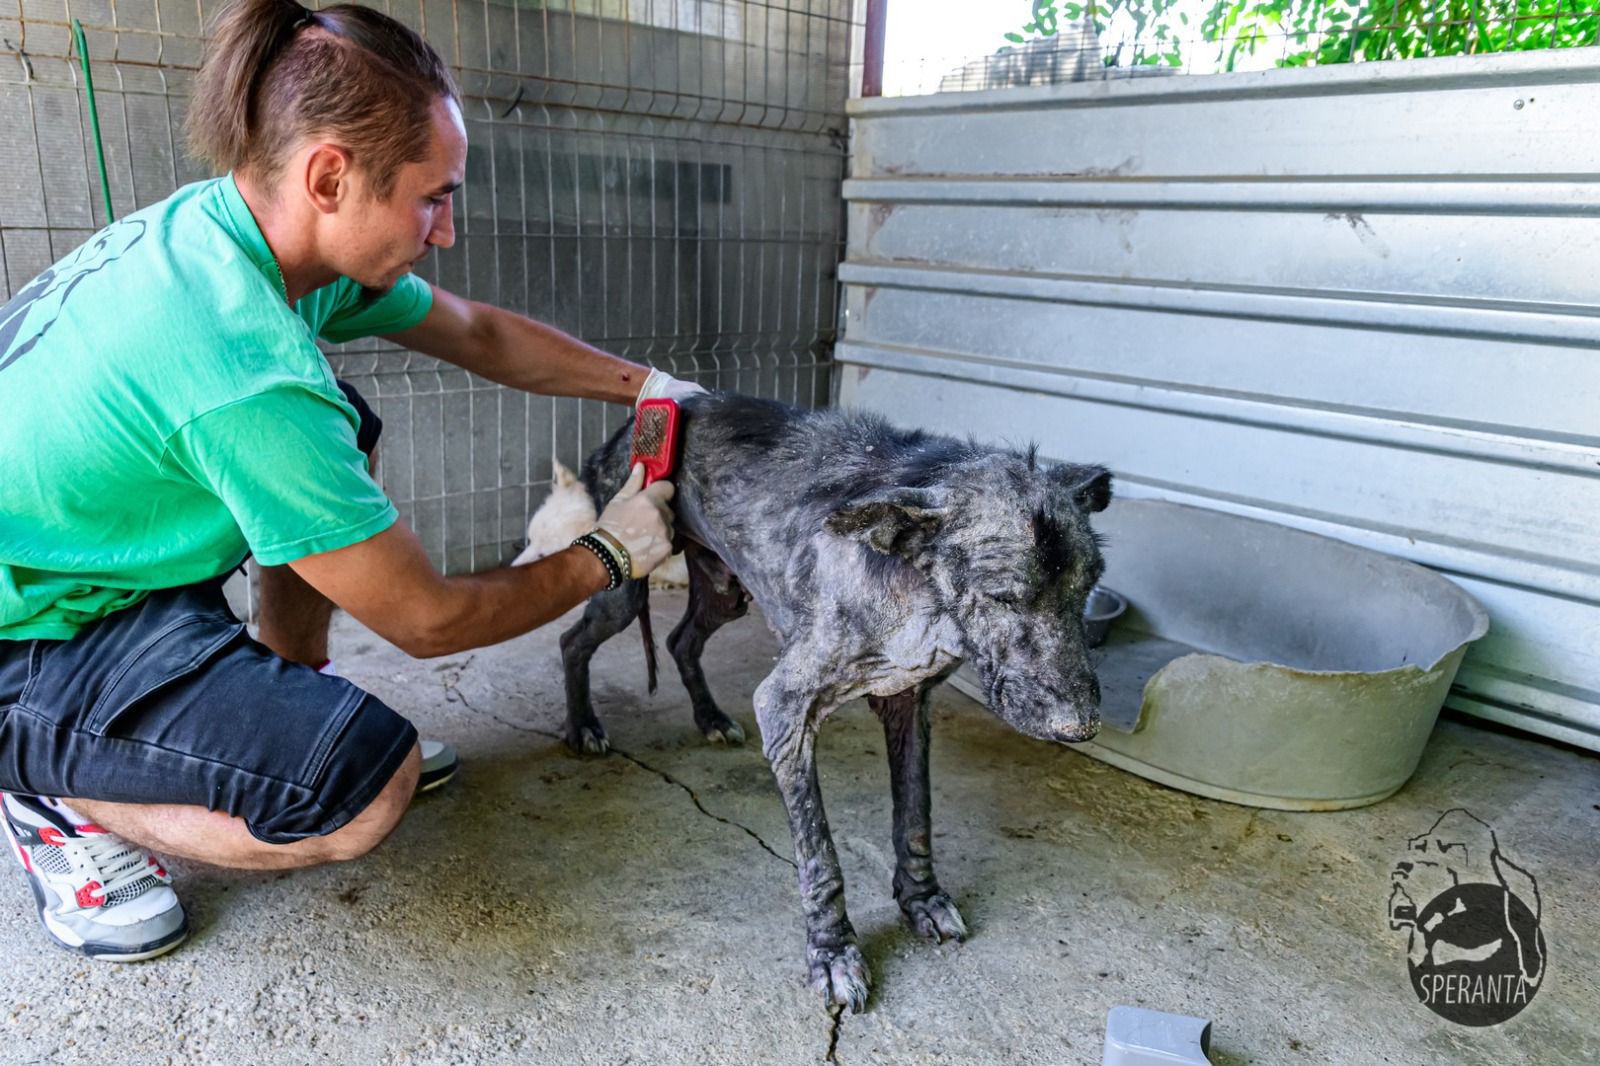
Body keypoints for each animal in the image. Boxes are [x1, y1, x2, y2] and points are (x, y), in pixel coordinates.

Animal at [563, 388, 1113, 1005]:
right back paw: (583, 726)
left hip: (726, 592)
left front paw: (922, 899)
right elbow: (820, 854)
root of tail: (629, 427)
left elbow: (914, 816)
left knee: (682, 640)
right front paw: (833, 952)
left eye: (1089, 587)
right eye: (1002, 597)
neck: (913, 586)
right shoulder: (783, 708)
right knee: (573, 640)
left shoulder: (908, 704)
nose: (1081, 728)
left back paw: (708, 716)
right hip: (625, 587)